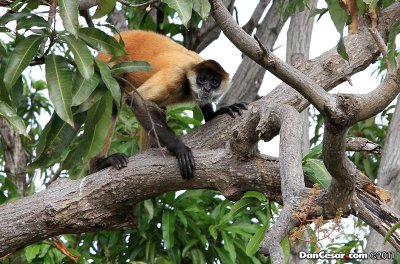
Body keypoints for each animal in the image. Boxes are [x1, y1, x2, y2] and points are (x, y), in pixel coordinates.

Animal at [90, 30, 247, 179]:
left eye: (214, 82)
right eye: (202, 79)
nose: (207, 88)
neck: (187, 86)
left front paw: (217, 113)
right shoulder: (177, 73)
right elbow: (137, 100)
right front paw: (181, 149)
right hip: (109, 66)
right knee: (113, 104)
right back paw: (99, 164)